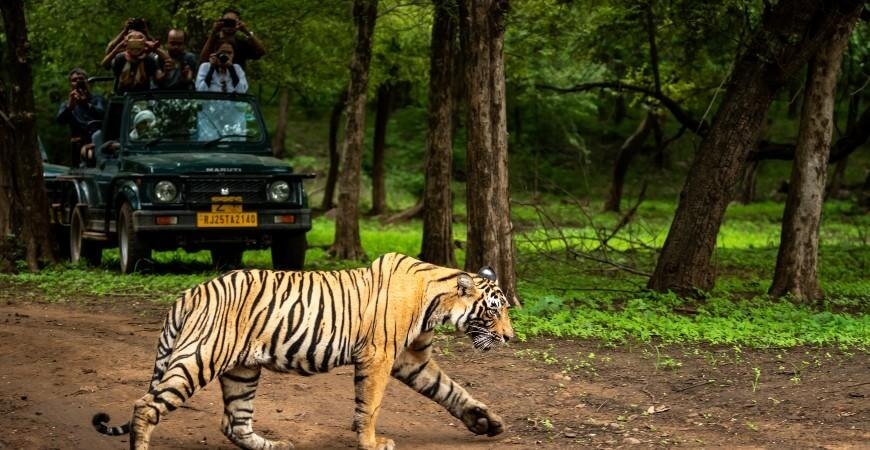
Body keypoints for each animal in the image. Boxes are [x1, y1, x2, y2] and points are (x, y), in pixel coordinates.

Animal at [92, 252, 514, 450]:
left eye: (506, 308)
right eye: (494, 310)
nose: (510, 337)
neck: (437, 302)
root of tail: (189, 293)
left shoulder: (412, 360)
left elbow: (452, 391)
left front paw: (487, 422)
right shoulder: (378, 356)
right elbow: (371, 406)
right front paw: (371, 443)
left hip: (242, 370)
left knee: (234, 423)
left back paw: (275, 445)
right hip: (200, 357)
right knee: (146, 406)